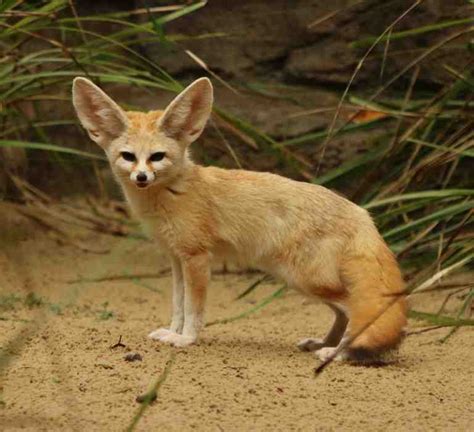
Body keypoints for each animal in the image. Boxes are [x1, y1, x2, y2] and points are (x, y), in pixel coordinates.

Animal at [72, 77, 406, 362]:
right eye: (128, 157)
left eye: (157, 157)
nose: (141, 177)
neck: (173, 193)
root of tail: (361, 213)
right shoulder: (176, 259)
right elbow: (178, 306)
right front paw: (171, 332)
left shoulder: (197, 258)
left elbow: (194, 310)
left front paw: (186, 339)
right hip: (302, 281)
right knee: (344, 314)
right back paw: (324, 344)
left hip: (307, 280)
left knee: (357, 312)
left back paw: (340, 353)